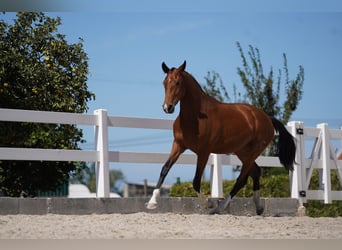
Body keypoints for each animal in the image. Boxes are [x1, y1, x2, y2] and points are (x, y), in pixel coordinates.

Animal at [146, 61, 296, 215]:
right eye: (165, 82)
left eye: (178, 83)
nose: (167, 107)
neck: (195, 117)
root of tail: (267, 118)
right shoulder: (178, 145)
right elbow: (165, 169)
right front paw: (152, 202)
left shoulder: (204, 152)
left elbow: (196, 181)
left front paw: (209, 203)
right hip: (242, 152)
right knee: (255, 172)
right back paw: (259, 207)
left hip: (252, 153)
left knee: (242, 178)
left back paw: (220, 206)